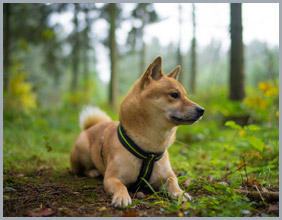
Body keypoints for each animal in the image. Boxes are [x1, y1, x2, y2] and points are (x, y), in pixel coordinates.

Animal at [69, 55, 204, 207]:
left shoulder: (166, 176)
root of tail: (90, 127)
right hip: (83, 150)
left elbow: (173, 182)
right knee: (78, 170)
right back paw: (92, 171)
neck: (150, 148)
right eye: (174, 94)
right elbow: (120, 186)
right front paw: (122, 196)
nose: (201, 110)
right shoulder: (112, 178)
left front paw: (180, 193)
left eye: (185, 95)